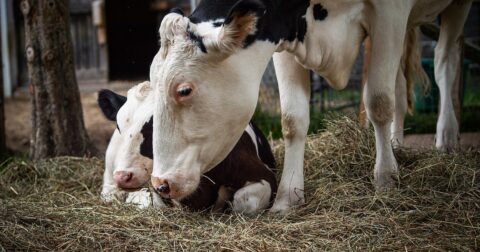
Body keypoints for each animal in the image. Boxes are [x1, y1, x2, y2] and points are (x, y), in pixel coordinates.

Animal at [150, 0, 472, 214]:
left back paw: (446, 137)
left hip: (455, 8)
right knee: (401, 83)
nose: (160, 183)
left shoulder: (389, 12)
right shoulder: (285, 35)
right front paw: (287, 198)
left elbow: (378, 101)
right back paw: (396, 144)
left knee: (445, 60)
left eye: (184, 90)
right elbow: (293, 120)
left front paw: (385, 181)